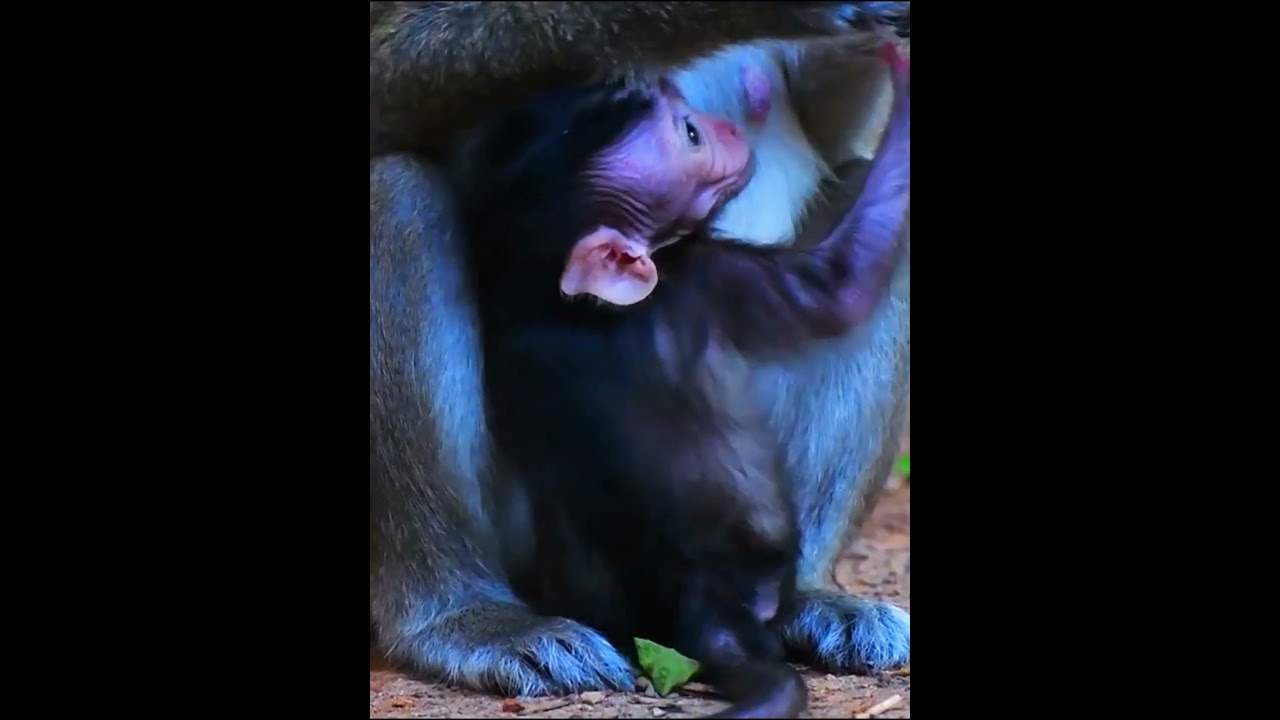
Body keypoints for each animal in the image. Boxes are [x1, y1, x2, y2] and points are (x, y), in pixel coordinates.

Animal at [371, 1, 912, 697]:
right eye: (688, 136)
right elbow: (386, 77)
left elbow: (831, 133)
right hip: (539, 546)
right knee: (398, 191)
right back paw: (464, 616)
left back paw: (806, 600)